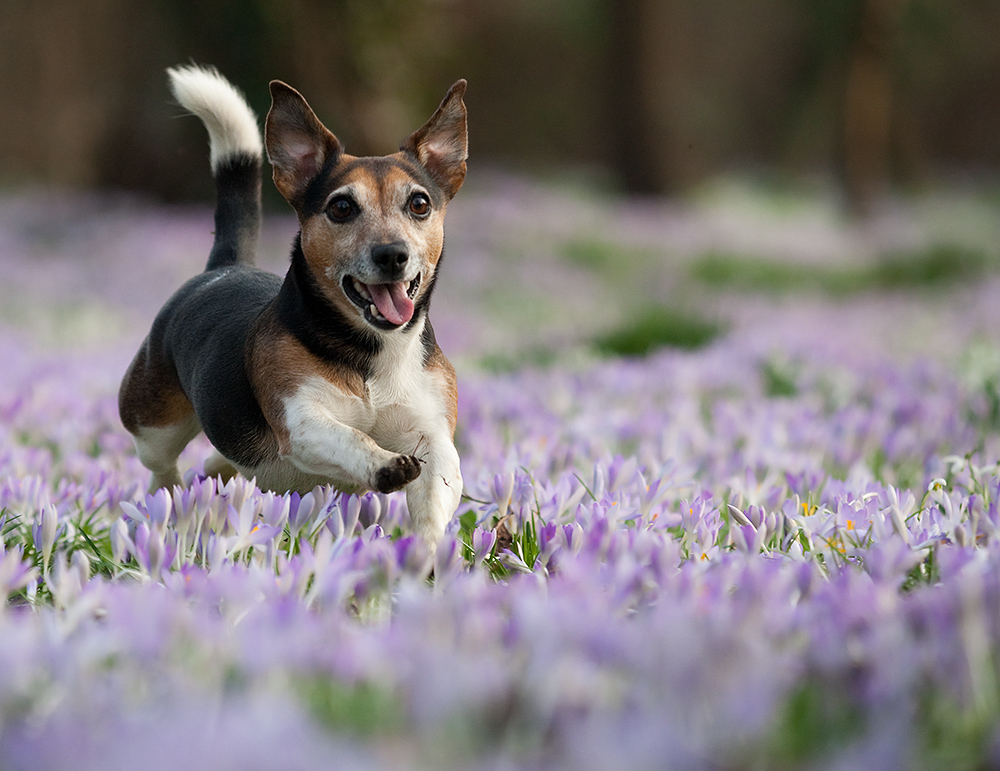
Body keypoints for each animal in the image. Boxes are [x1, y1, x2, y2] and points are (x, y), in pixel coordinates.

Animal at [118, 66, 468, 544]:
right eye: (342, 207)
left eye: (419, 203)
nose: (392, 254)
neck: (370, 351)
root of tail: (226, 266)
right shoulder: (301, 420)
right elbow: (349, 437)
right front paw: (383, 465)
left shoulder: (433, 436)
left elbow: (436, 491)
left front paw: (427, 553)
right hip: (155, 425)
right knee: (162, 467)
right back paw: (167, 504)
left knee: (219, 464)